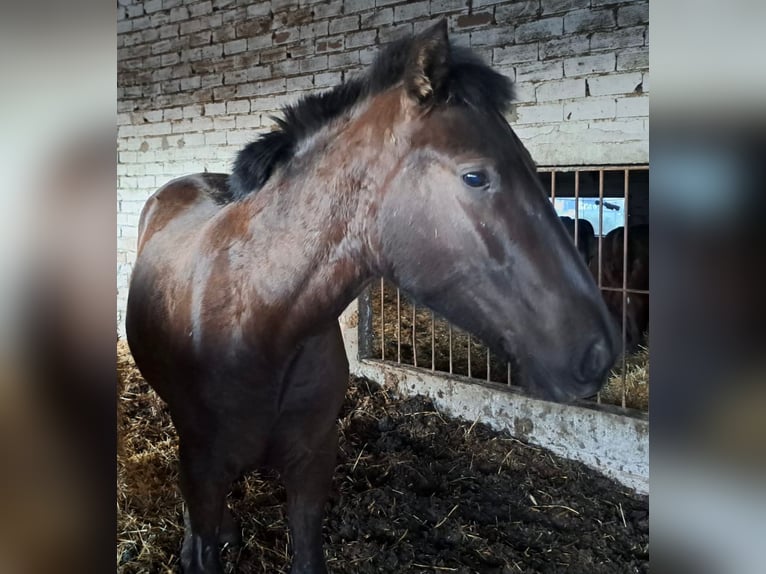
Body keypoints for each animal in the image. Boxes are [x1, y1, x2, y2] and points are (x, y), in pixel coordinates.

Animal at [126, 21, 620, 574]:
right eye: (475, 176)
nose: (599, 352)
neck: (260, 320)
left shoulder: (312, 466)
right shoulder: (204, 466)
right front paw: (197, 545)